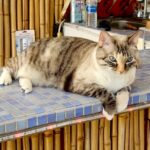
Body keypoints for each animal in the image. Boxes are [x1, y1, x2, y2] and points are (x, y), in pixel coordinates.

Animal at [0, 31, 141, 119]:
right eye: (112, 59)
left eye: (129, 60)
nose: (121, 71)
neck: (114, 79)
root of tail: (31, 43)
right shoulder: (78, 83)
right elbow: (104, 91)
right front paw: (110, 113)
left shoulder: (127, 84)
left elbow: (125, 91)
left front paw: (120, 106)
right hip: (22, 62)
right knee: (9, 66)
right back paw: (5, 79)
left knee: (22, 77)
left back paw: (26, 87)